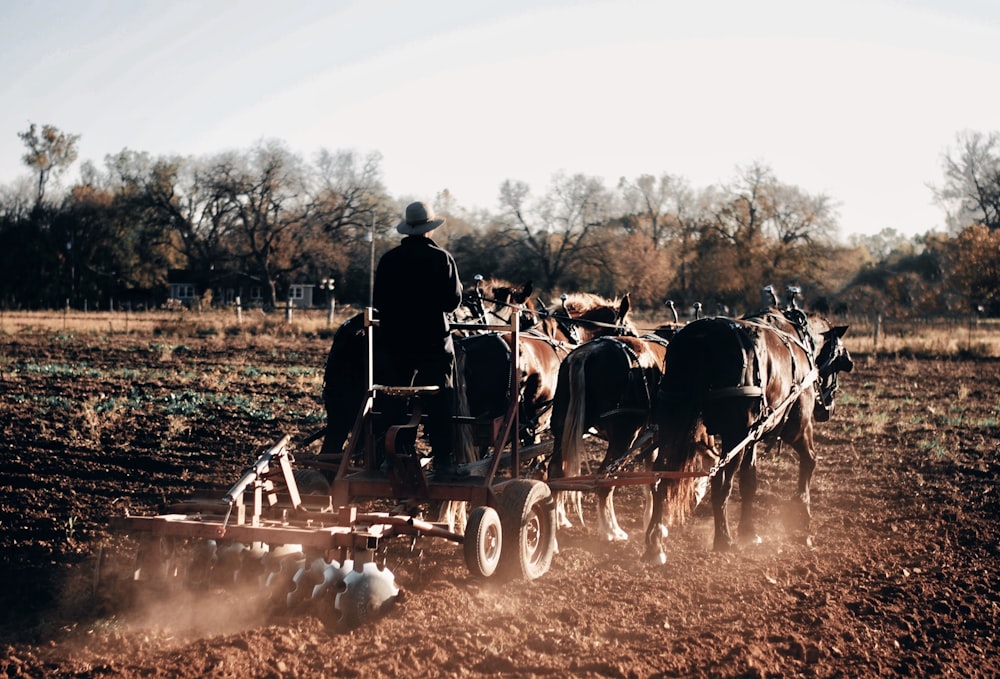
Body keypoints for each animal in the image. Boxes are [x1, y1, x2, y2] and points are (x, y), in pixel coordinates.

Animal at [640, 304, 852, 564]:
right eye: (839, 362)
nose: (828, 410)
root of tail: (701, 338)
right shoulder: (797, 427)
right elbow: (809, 461)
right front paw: (803, 521)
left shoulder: (752, 437)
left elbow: (749, 481)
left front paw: (749, 532)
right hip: (734, 434)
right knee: (721, 485)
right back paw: (723, 539)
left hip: (675, 426)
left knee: (660, 478)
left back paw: (655, 545)